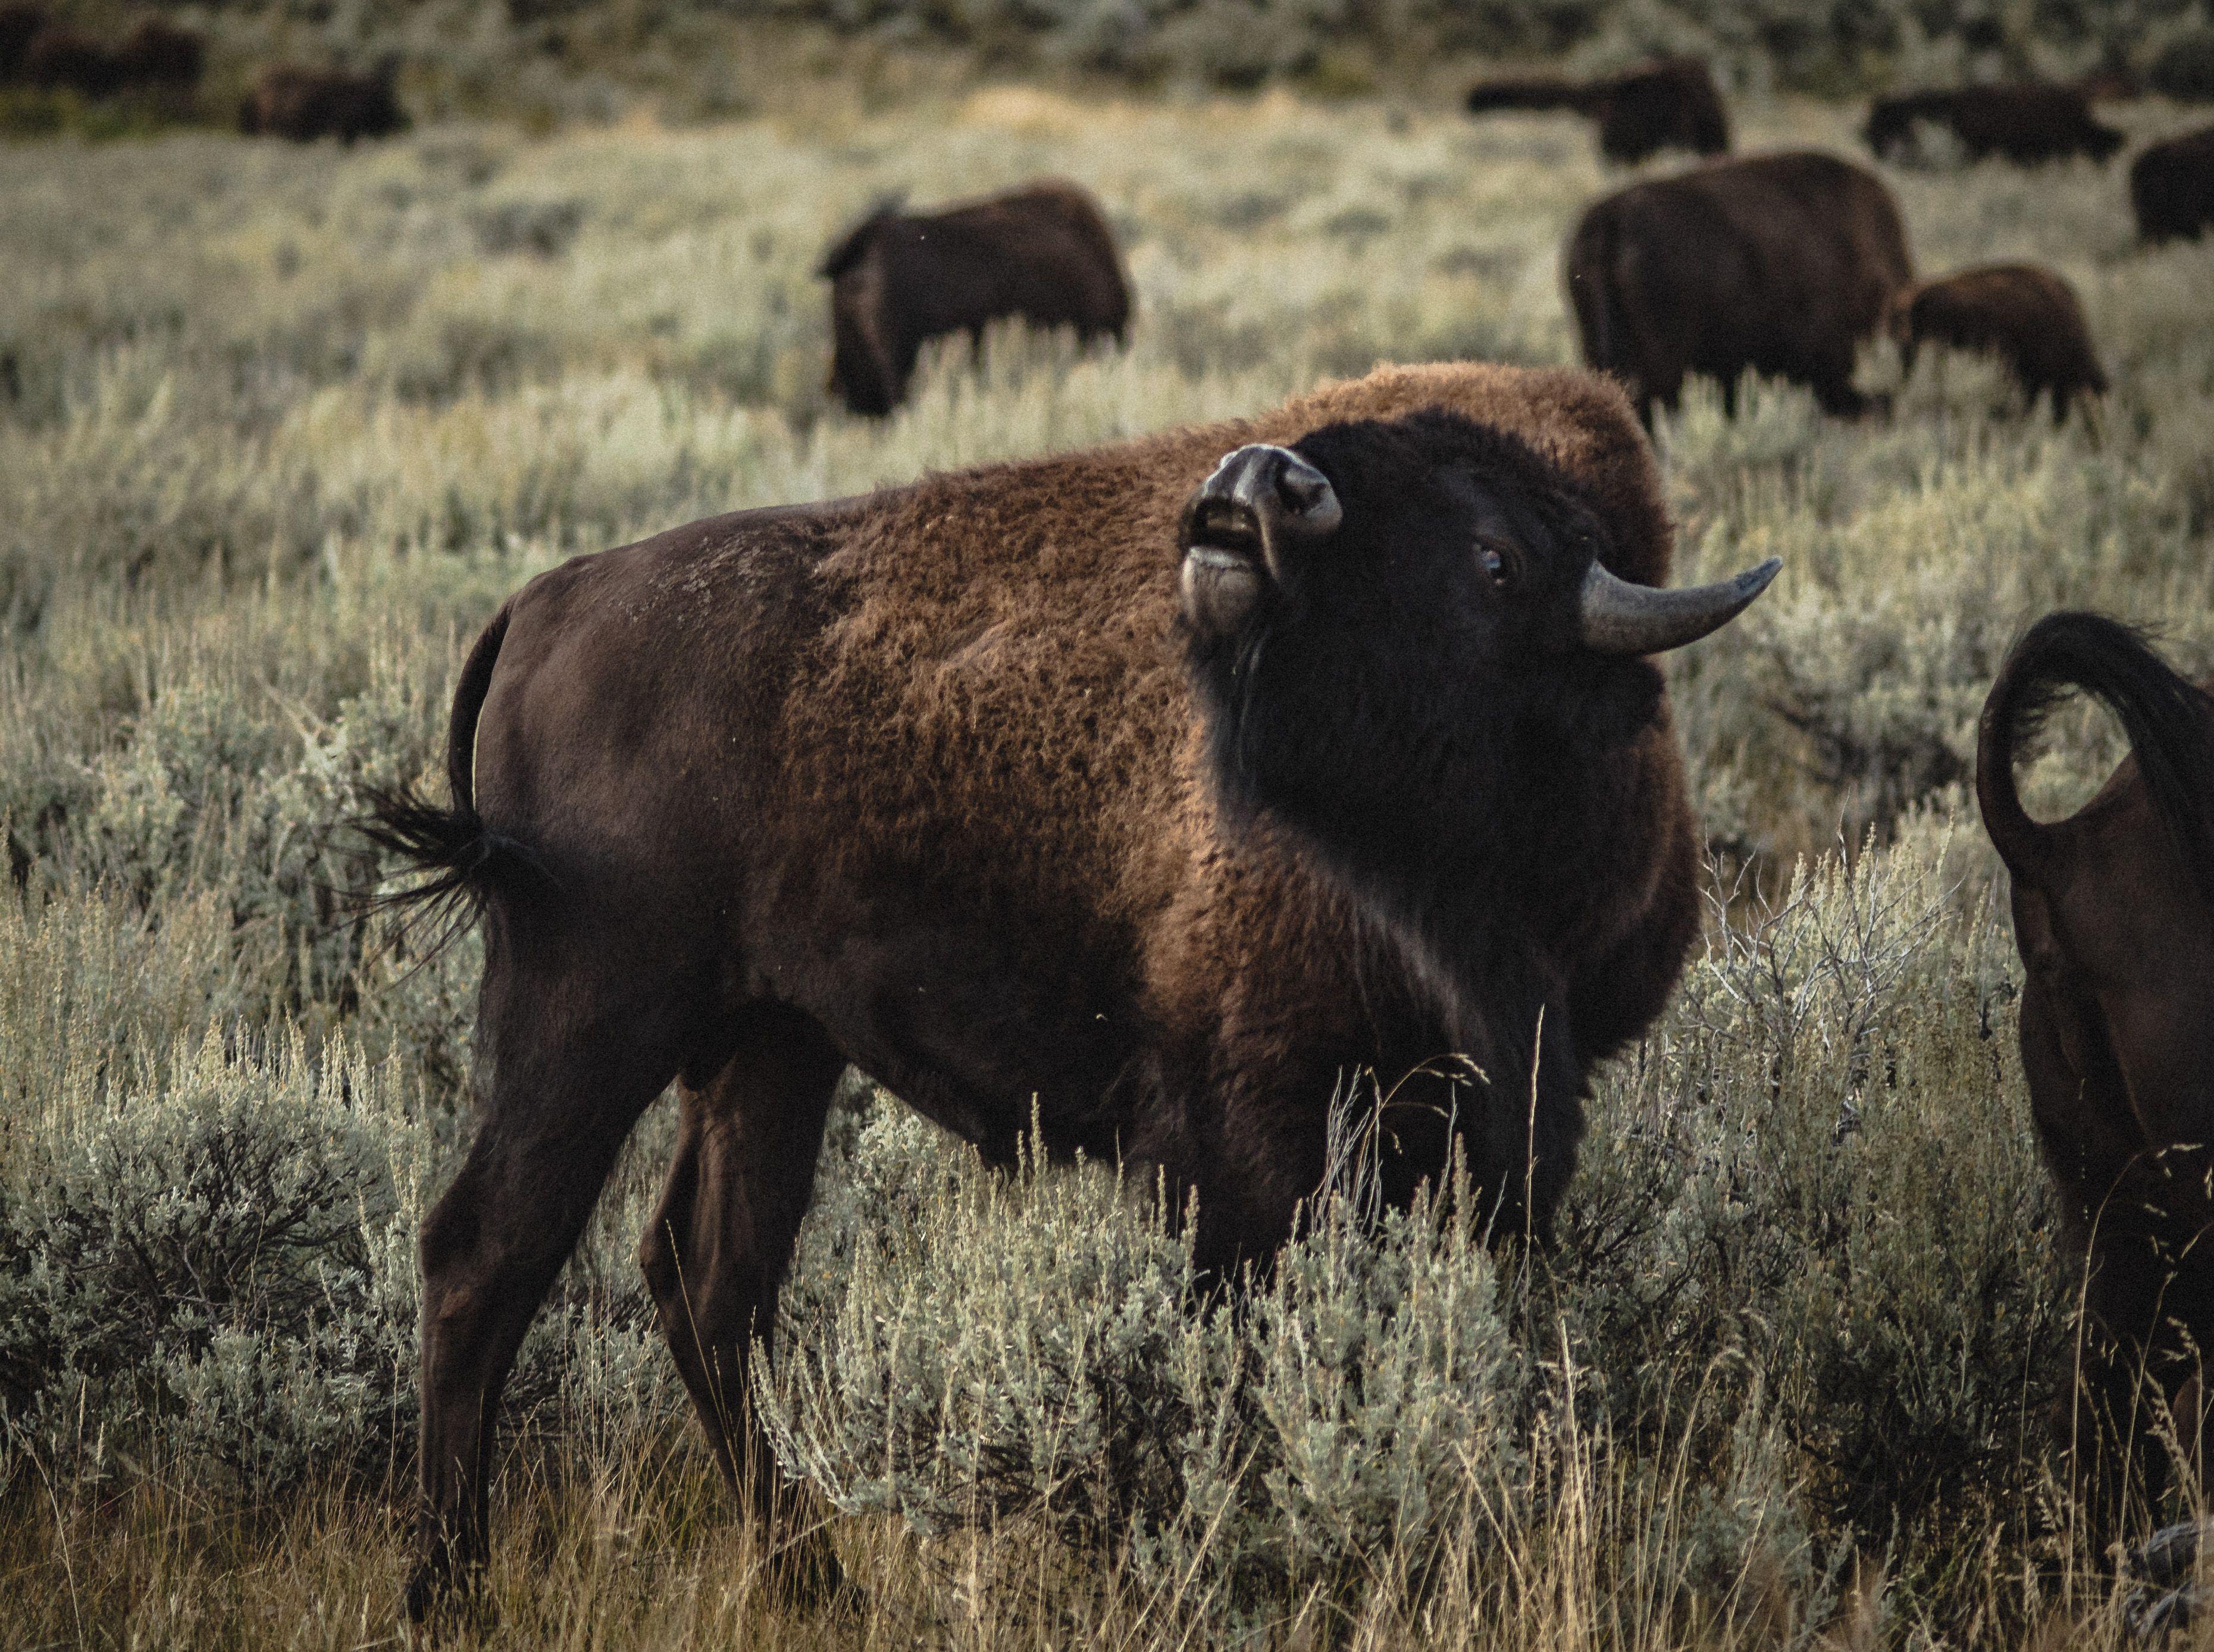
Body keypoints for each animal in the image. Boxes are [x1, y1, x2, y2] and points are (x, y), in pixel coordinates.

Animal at [364, 361, 1780, 1616]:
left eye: (1495, 560)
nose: (1259, 487)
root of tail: (548, 598)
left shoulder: (1486, 1126)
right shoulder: (1243, 1135)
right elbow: (1237, 1344)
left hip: (771, 1043)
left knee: (711, 1283)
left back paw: (815, 1580)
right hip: (584, 1017)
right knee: (486, 1253)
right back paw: (449, 1588)